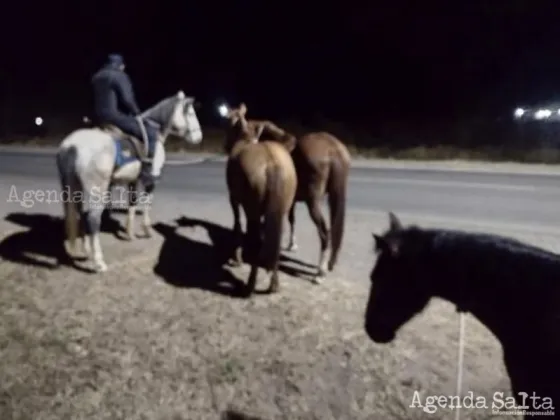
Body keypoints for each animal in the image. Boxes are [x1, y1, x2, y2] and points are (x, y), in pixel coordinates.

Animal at [54, 90, 202, 272]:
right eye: (190, 113)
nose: (199, 137)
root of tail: (72, 145)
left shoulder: (132, 180)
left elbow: (132, 203)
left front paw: (129, 233)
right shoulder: (151, 180)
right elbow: (146, 203)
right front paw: (147, 230)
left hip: (76, 187)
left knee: (81, 214)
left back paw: (87, 249)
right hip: (97, 189)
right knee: (93, 218)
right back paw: (99, 262)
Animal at [223, 104, 298, 296]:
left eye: (229, 122)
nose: (225, 146)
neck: (246, 138)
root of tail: (273, 165)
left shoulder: (233, 198)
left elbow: (237, 225)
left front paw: (236, 258)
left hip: (253, 211)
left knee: (256, 242)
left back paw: (250, 285)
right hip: (281, 212)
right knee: (275, 244)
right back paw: (274, 285)